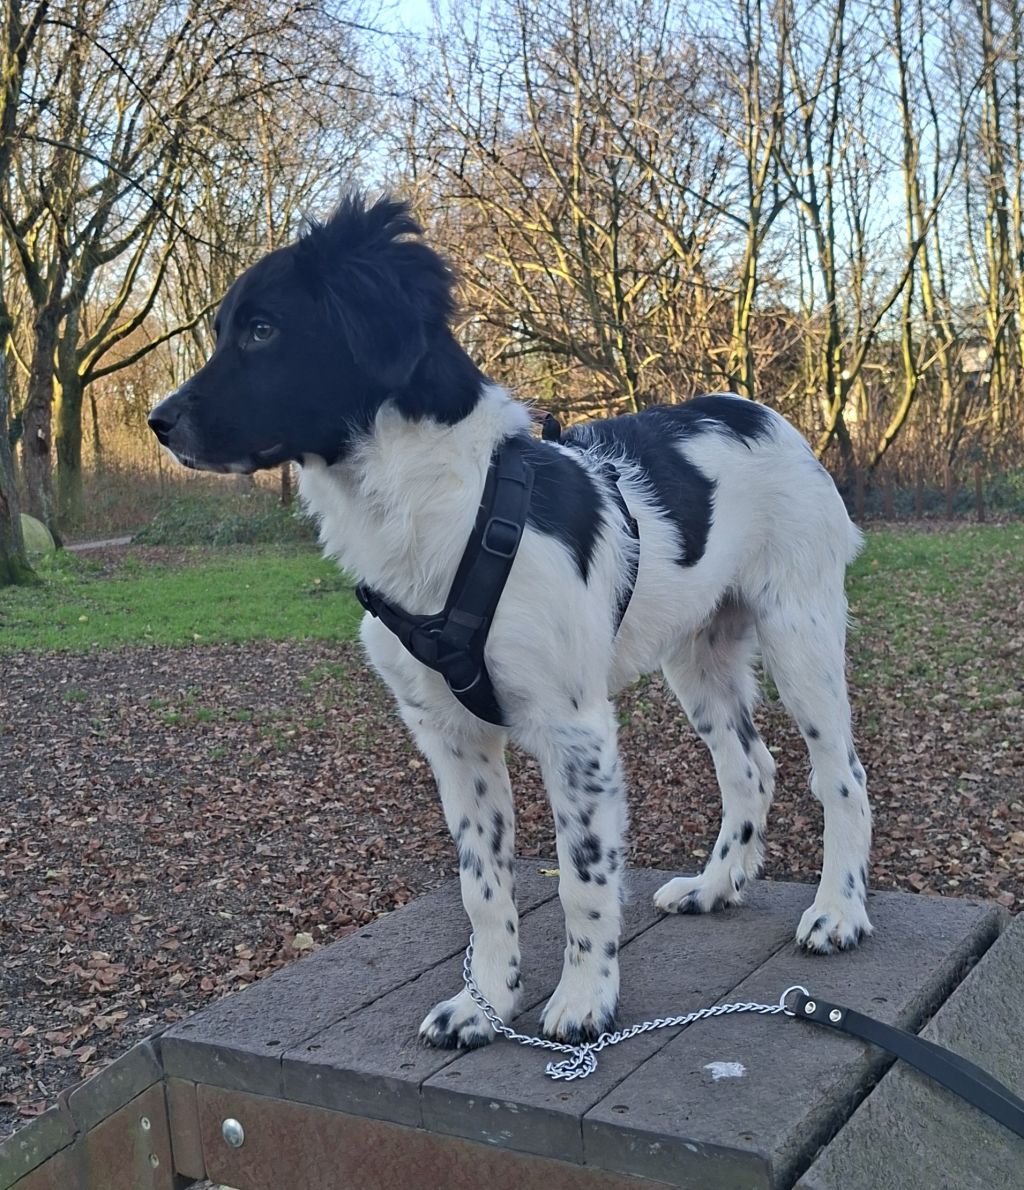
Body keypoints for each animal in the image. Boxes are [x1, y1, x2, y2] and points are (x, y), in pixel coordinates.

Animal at [149, 194, 871, 1048]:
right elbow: (483, 886)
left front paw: (585, 999)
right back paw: (715, 884)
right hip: (699, 655)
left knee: (841, 777)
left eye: (263, 330)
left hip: (801, 633)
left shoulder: (575, 732)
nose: (160, 421)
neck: (440, 509)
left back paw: (838, 911)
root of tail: (763, 413)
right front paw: (489, 1002)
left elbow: (582, 880)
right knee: (749, 768)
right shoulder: (450, 738)